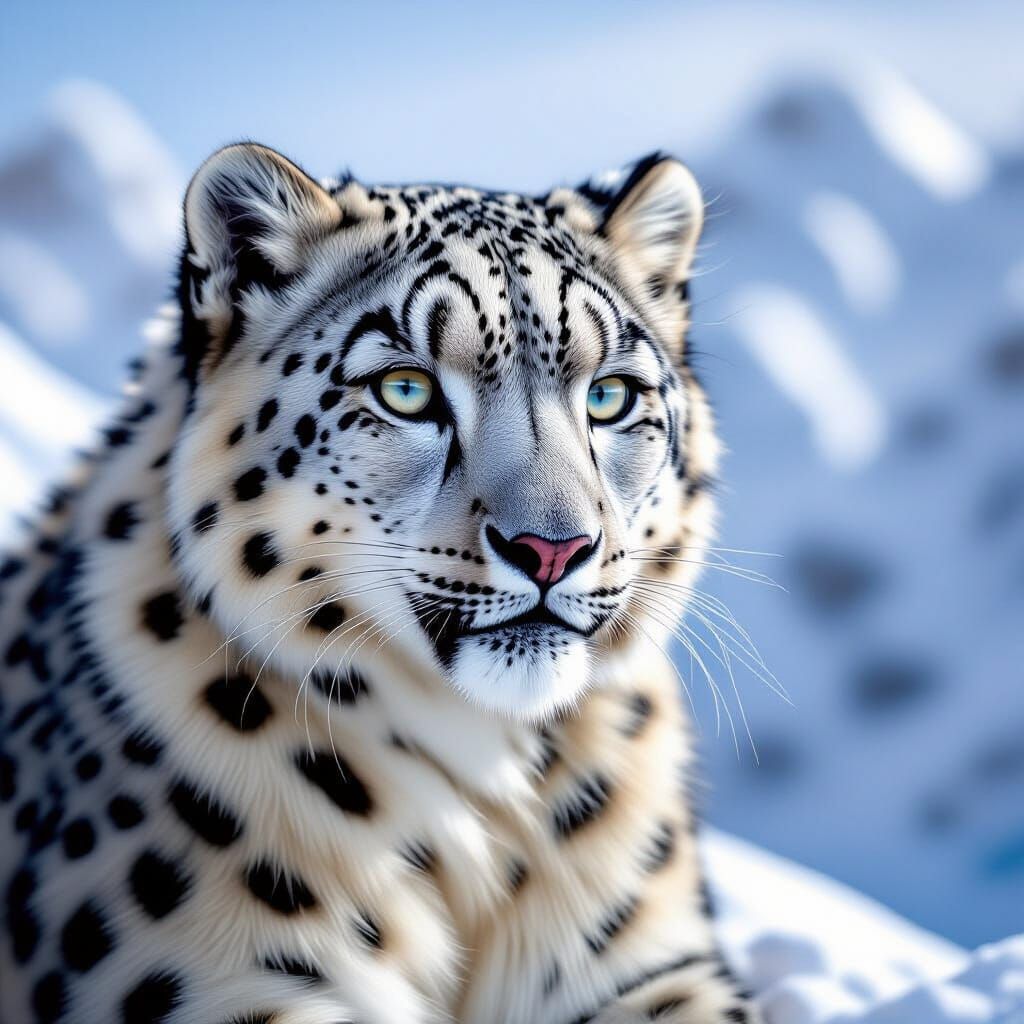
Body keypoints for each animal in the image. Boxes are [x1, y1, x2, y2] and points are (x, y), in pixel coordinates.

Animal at [0, 143, 758, 1024]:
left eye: (609, 395)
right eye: (406, 390)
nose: (552, 548)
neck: (490, 787)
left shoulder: (648, 969)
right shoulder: (227, 984)